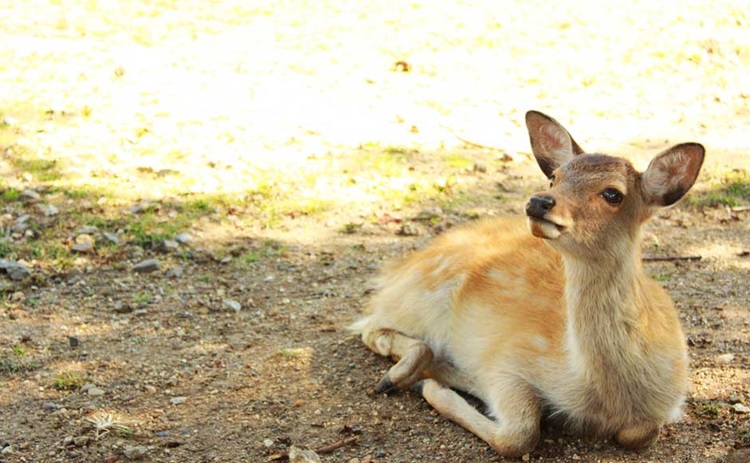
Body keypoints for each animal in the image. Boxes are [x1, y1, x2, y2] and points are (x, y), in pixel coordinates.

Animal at [352, 110, 704, 458]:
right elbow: (518, 434)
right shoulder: (507, 359)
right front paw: (434, 384)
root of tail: (397, 269)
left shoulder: (664, 406)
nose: (538, 201)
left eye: (613, 193)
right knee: (372, 327)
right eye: (554, 178)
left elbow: (641, 433)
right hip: (419, 299)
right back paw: (398, 377)